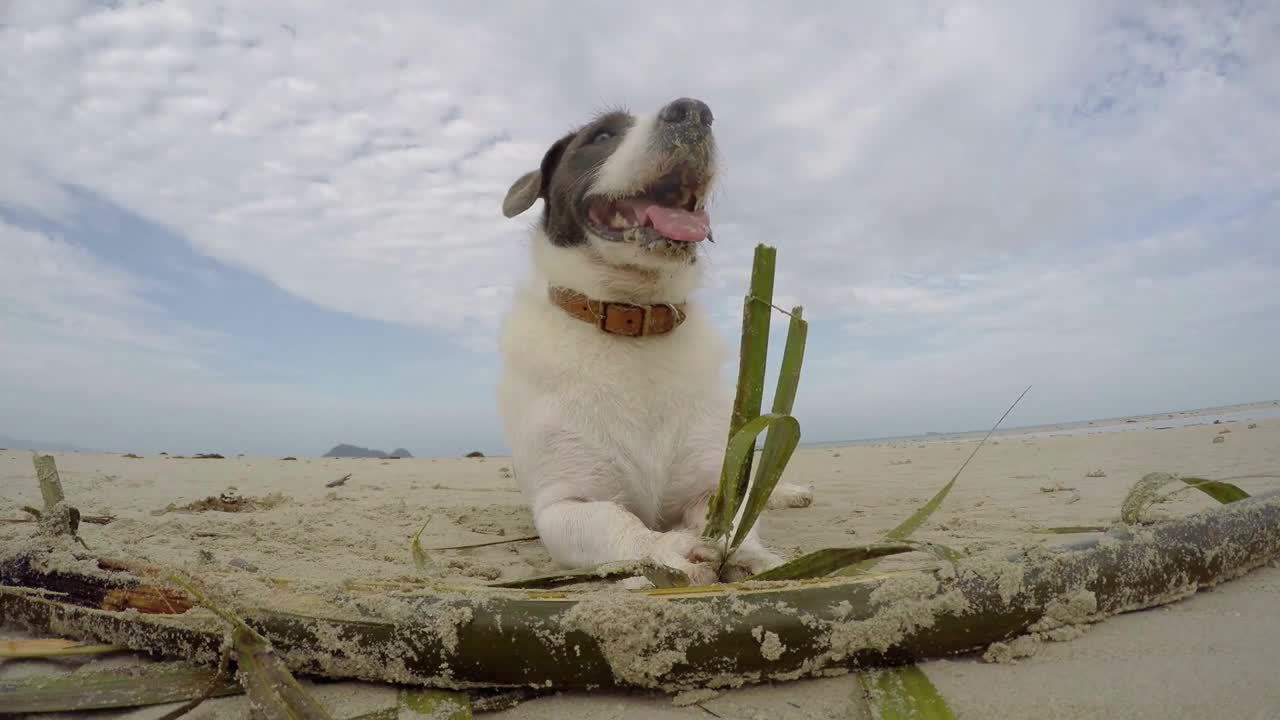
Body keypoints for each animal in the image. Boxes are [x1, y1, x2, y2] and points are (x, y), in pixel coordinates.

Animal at [496, 96, 808, 584]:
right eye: (603, 135)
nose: (694, 111)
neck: (634, 319)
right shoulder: (563, 505)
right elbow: (615, 522)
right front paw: (666, 548)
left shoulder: (711, 486)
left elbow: (730, 521)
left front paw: (753, 554)